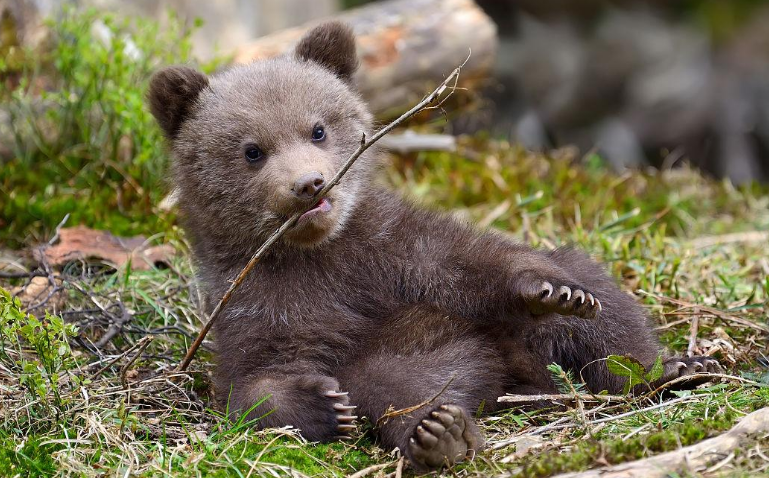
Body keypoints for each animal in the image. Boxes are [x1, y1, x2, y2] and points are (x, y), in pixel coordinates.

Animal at [147, 22, 720, 470]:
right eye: (252, 150)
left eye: (317, 129)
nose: (310, 184)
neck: (317, 253)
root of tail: (517, 372)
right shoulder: (257, 302)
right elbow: (255, 382)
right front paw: (322, 404)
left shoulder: (389, 246)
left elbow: (469, 262)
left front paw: (553, 290)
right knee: (399, 384)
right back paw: (440, 433)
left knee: (606, 320)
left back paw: (670, 371)